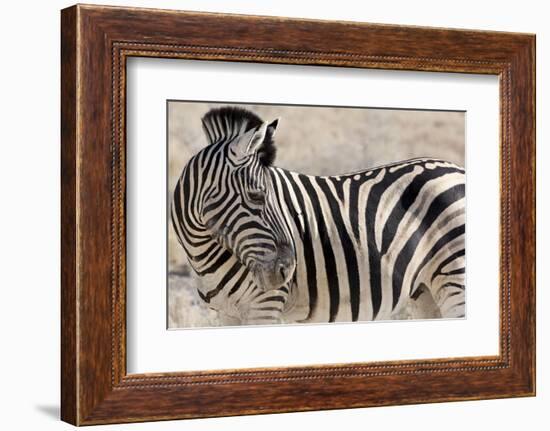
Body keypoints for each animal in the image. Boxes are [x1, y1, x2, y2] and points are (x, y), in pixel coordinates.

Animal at [171, 106, 466, 326]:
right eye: (257, 196)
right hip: (426, 292)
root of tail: (455, 167)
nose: (287, 271)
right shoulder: (227, 314)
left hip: (455, 280)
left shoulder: (264, 306)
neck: (202, 252)